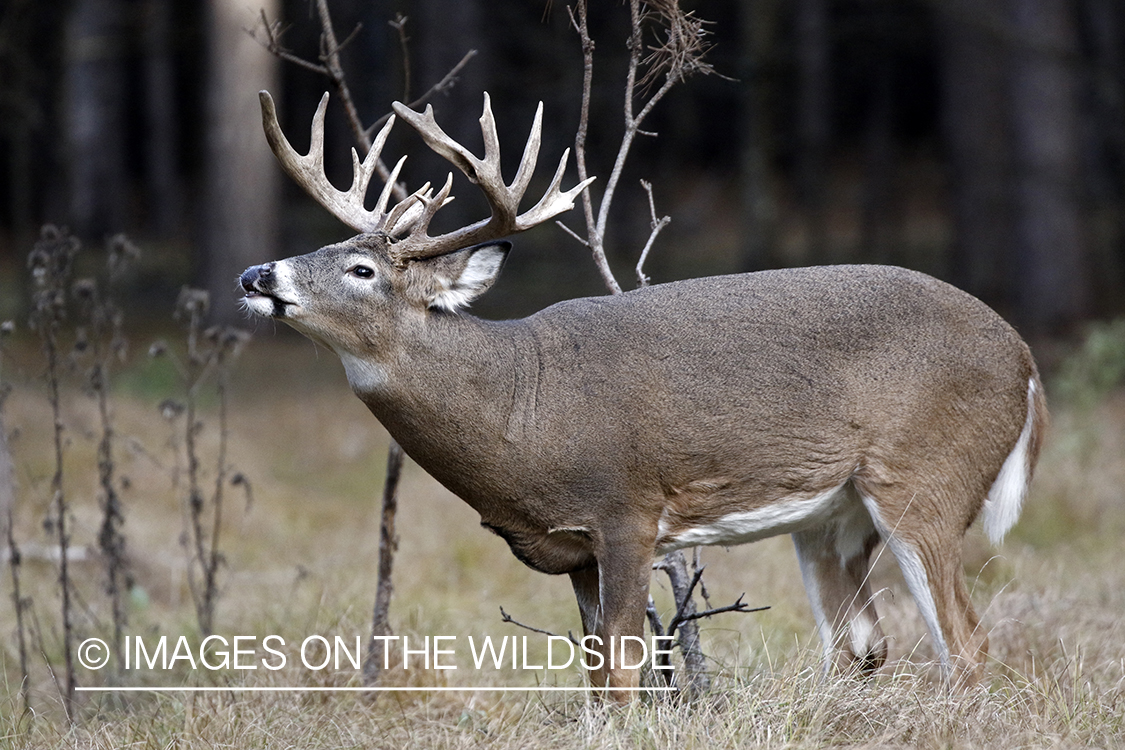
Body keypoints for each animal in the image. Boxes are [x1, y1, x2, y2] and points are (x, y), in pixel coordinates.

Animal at [241, 91, 1048, 701]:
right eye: (326, 251)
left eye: (362, 271)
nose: (255, 274)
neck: (519, 408)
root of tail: (1025, 358)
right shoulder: (572, 547)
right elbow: (596, 673)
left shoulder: (626, 511)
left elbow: (626, 668)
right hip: (831, 518)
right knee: (859, 648)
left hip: (924, 479)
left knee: (965, 644)